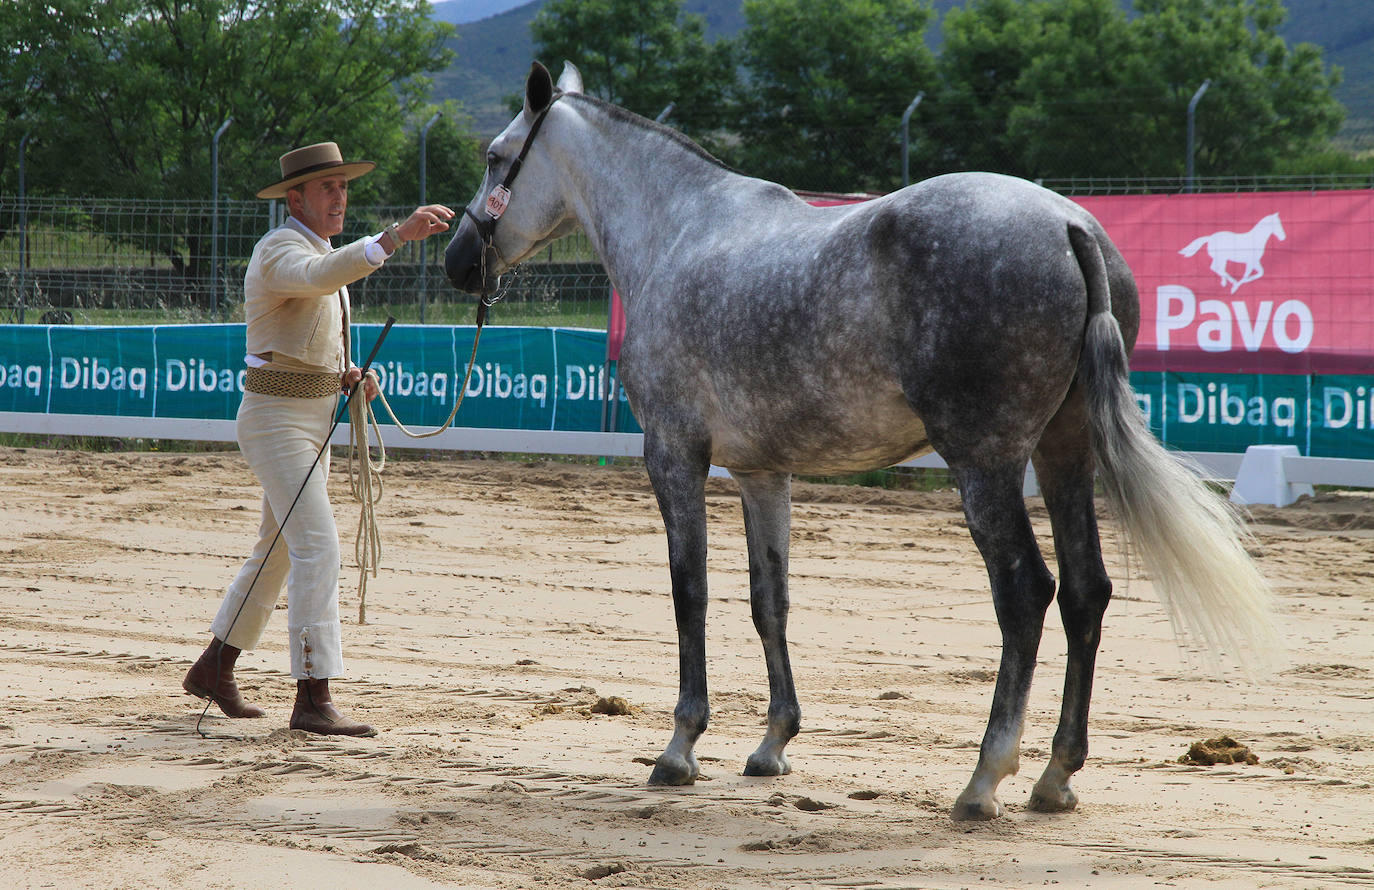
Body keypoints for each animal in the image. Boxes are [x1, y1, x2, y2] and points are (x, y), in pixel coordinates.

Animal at [445, 59, 1269, 818]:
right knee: (1086, 592)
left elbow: (691, 592)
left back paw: (984, 780)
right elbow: (768, 599)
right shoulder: (761, 474)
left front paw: (680, 748)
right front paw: (773, 743)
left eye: (494, 155)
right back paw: (1055, 777)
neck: (679, 233)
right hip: (1064, 452)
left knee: (1025, 593)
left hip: (987, 462)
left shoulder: (674, 455)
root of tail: (1073, 225)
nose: (457, 262)